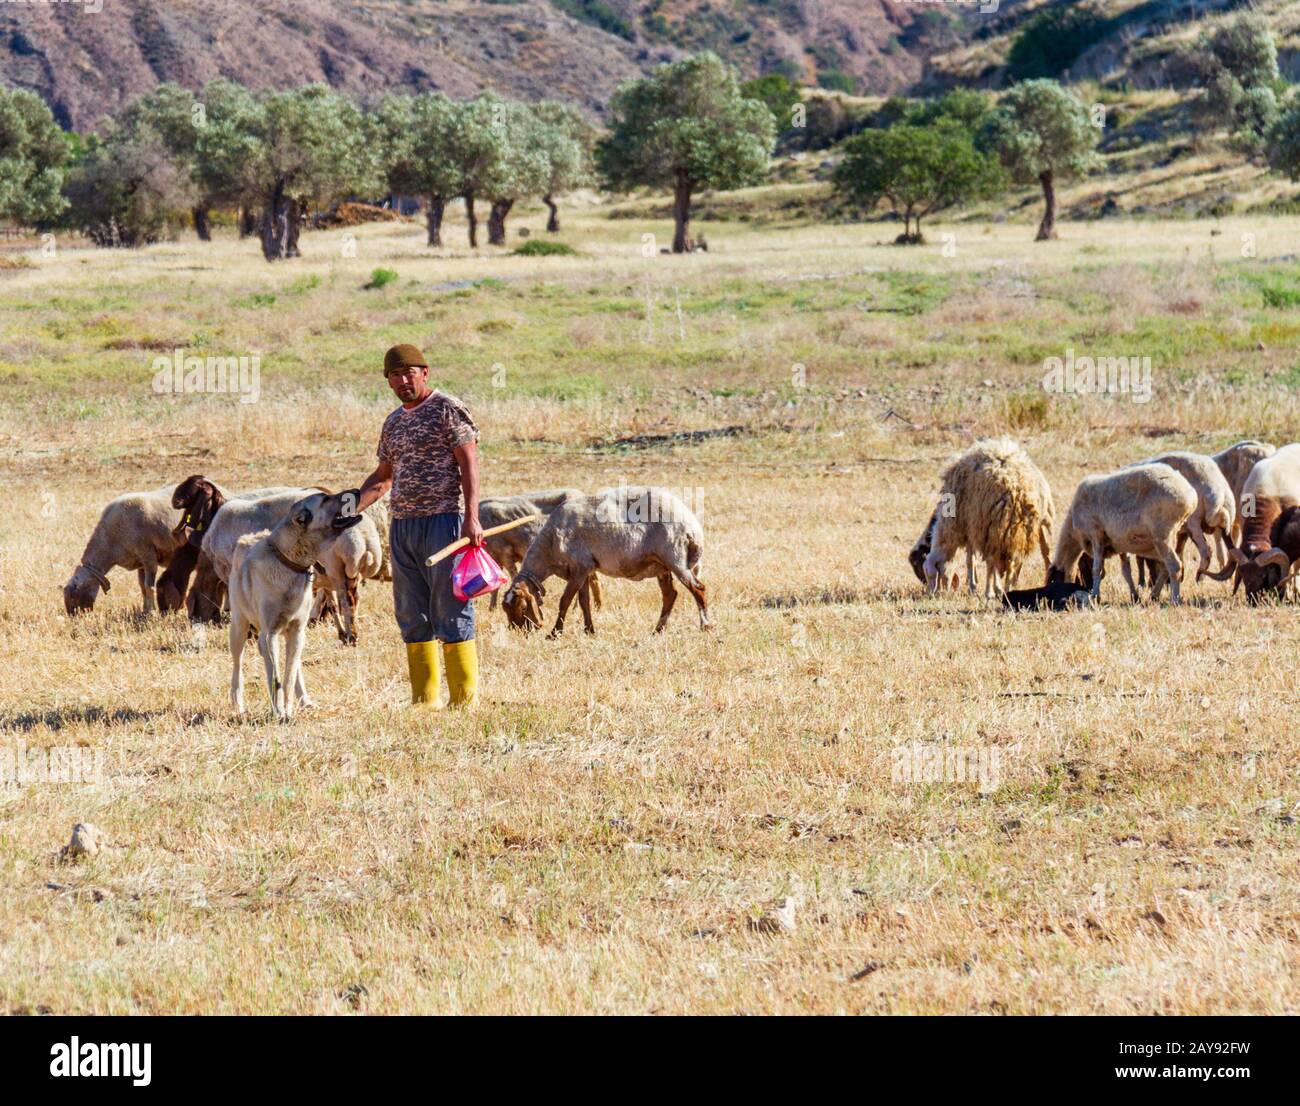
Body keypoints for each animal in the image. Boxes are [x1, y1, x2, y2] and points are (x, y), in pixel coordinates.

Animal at [63, 488, 184, 618]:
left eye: (73, 597)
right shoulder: (141, 561)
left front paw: (151, 614)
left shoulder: (148, 555)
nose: (74, 619)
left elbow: (149, 587)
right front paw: (145, 612)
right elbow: (142, 587)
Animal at [499, 486, 707, 639]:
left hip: (675, 557)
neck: (549, 547)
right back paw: (658, 630)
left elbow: (565, 600)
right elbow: (584, 601)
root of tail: (692, 524)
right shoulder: (581, 570)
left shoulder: (580, 566)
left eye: (523, 607)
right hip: (661, 565)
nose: (520, 632)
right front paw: (589, 630)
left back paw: (705, 626)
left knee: (698, 589)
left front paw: (554, 633)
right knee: (670, 595)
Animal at [920, 436, 1050, 600]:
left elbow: (974, 561)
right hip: (1021, 528)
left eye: (929, 575)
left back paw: (990, 592)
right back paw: (1008, 589)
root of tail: (1017, 490)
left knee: (992, 561)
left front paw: (980, 588)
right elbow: (972, 559)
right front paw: (978, 586)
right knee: (1017, 559)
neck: (950, 530)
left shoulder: (970, 525)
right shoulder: (972, 529)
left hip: (993, 526)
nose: (929, 596)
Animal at [1050, 462, 1190, 610]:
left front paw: (1095, 596)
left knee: (1174, 566)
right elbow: (1126, 571)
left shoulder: (1096, 535)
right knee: (1165, 566)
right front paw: (1135, 596)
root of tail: (1190, 495)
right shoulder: (1120, 544)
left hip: (1162, 534)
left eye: (1053, 581)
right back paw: (1154, 595)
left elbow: (1097, 570)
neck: (1072, 529)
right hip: (1168, 535)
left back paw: (1174, 600)